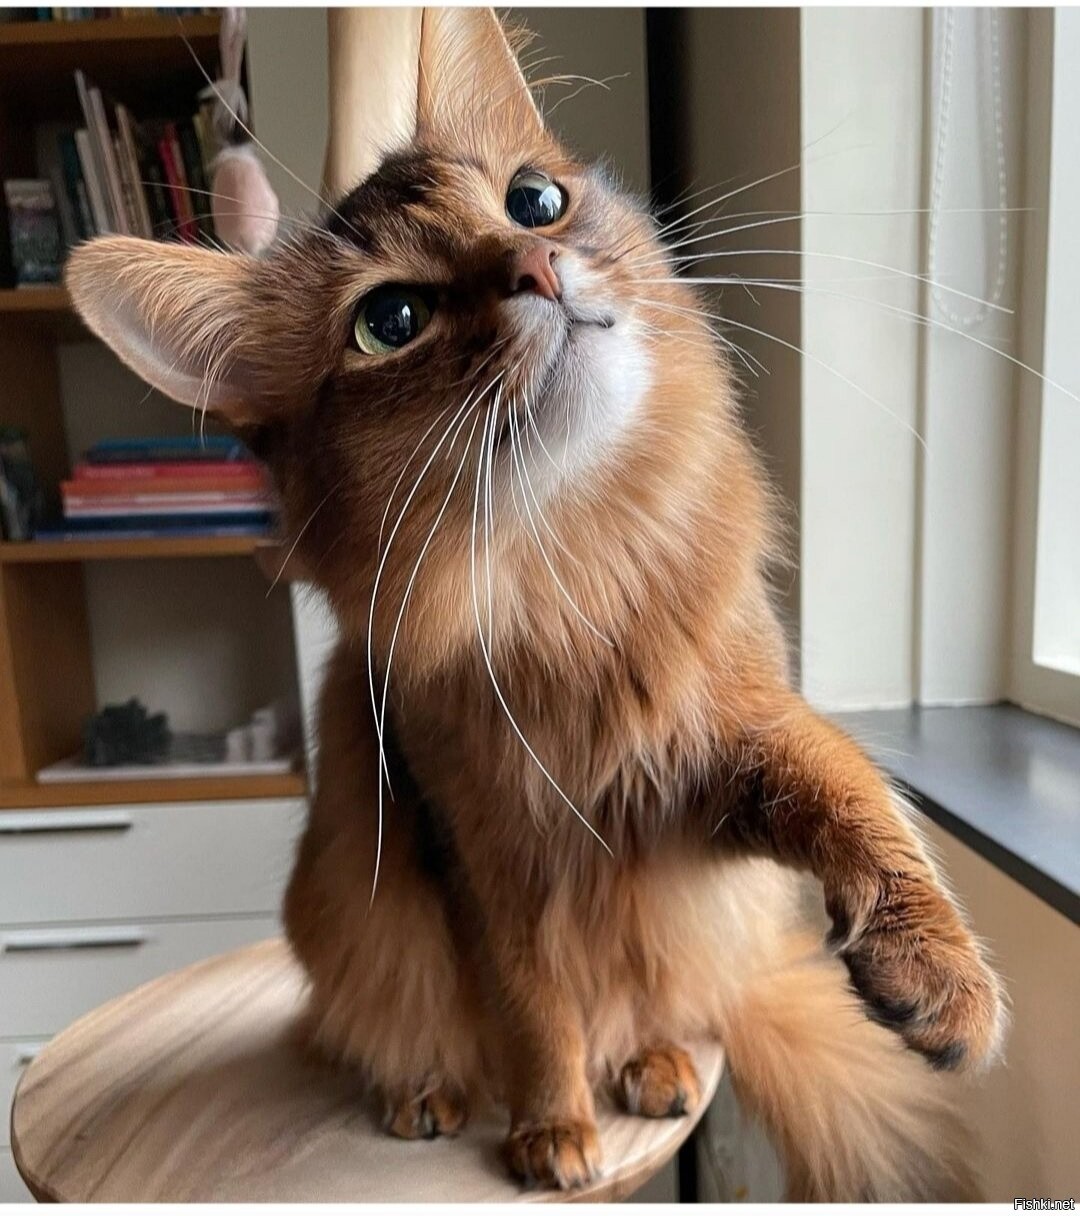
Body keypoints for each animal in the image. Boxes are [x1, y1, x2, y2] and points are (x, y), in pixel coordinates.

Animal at [66, 7, 1006, 1200]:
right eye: (392, 319)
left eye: (532, 200)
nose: (535, 263)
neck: (577, 571)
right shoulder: (482, 851)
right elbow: (532, 1004)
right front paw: (551, 1127)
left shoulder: (706, 771)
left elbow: (848, 784)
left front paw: (938, 966)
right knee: (375, 1025)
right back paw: (424, 1090)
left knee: (668, 999)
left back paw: (655, 1060)